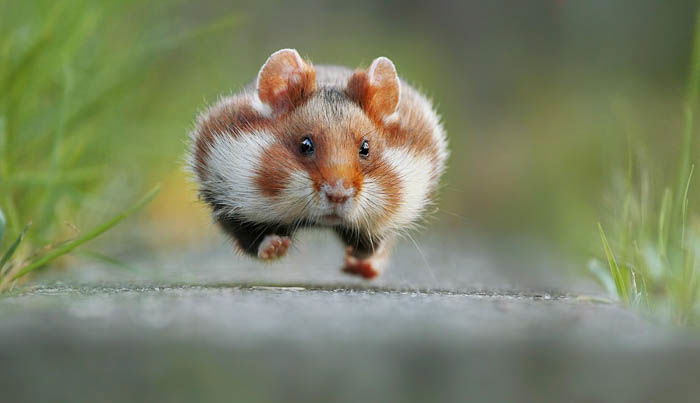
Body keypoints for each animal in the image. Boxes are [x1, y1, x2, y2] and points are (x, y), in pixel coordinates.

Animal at [187, 49, 448, 280]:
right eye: (305, 145)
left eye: (365, 148)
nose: (338, 195)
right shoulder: (228, 199)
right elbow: (251, 238)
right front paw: (277, 246)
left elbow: (372, 243)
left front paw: (355, 255)